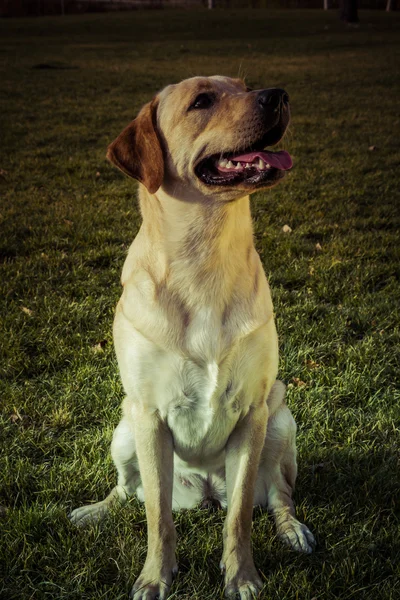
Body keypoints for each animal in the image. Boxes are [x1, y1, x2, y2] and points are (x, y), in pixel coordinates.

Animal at [69, 76, 316, 600]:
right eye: (202, 100)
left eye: (242, 86)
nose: (278, 94)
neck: (205, 256)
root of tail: (204, 492)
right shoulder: (148, 414)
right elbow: (157, 516)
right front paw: (155, 576)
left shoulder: (252, 411)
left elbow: (240, 516)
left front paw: (242, 576)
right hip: (123, 429)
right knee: (128, 491)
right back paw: (95, 511)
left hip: (281, 420)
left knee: (279, 497)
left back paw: (292, 530)